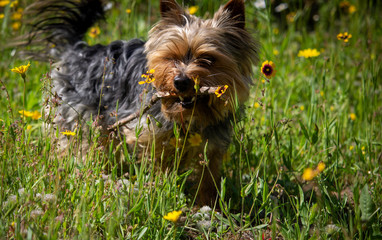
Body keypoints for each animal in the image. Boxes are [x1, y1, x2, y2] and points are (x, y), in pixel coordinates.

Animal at [22, 0, 258, 204]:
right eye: (171, 57)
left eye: (208, 59)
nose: (180, 81)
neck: (189, 117)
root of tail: (77, 50)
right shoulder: (150, 137)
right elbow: (159, 167)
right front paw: (161, 192)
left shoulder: (212, 146)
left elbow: (208, 180)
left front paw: (209, 206)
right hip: (77, 119)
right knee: (75, 146)